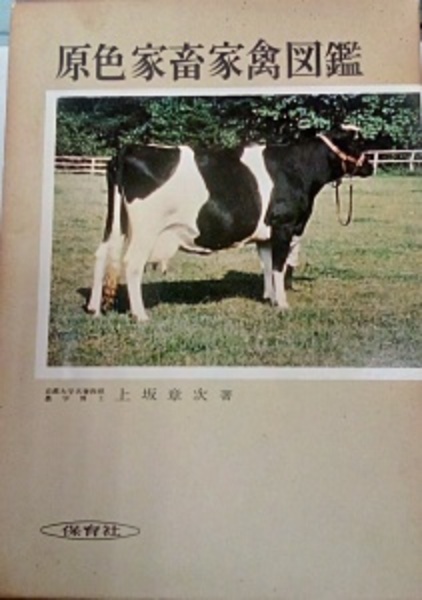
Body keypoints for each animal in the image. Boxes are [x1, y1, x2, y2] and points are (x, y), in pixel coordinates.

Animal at [87, 125, 373, 321]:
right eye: (358, 143)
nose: (370, 166)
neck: (298, 168)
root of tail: (129, 149)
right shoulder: (284, 225)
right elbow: (278, 266)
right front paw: (282, 304)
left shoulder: (266, 234)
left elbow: (267, 265)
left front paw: (269, 298)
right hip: (146, 230)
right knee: (132, 264)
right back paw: (141, 316)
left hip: (117, 224)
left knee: (101, 254)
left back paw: (94, 308)